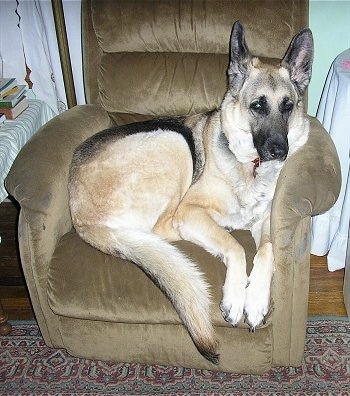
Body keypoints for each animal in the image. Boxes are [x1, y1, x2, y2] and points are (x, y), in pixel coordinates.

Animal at [67, 20, 312, 364]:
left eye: (288, 107)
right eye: (258, 106)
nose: (279, 152)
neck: (249, 167)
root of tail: (81, 220)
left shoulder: (265, 221)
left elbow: (267, 249)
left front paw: (255, 301)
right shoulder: (191, 210)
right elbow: (237, 248)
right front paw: (236, 297)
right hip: (172, 142)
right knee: (161, 230)